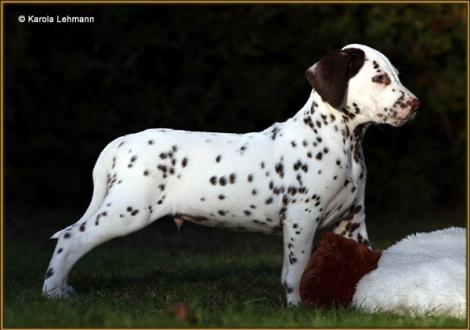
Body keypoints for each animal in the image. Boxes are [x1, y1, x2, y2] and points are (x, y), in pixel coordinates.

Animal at [43, 43, 418, 306]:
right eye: (379, 78)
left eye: (396, 74)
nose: (415, 105)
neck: (339, 142)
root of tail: (120, 143)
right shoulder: (301, 217)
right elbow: (296, 270)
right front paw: (297, 306)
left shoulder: (353, 221)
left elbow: (367, 263)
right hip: (127, 210)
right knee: (70, 237)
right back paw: (54, 292)